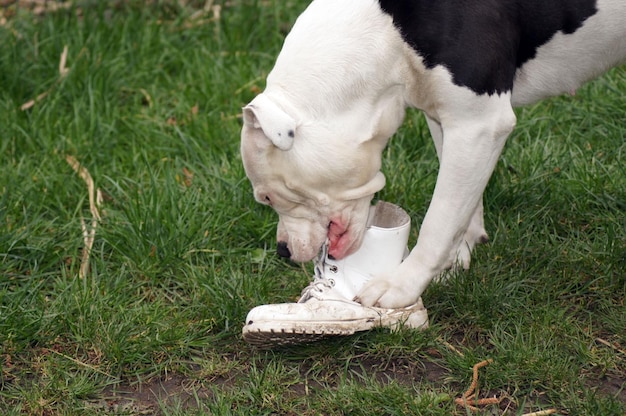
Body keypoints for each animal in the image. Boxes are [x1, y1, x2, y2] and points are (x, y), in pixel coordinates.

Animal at [240, 0, 624, 308]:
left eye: (268, 197)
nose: (283, 251)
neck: (384, 29)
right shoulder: (448, 119)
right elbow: (461, 210)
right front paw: (455, 259)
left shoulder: (478, 123)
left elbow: (438, 220)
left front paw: (402, 284)